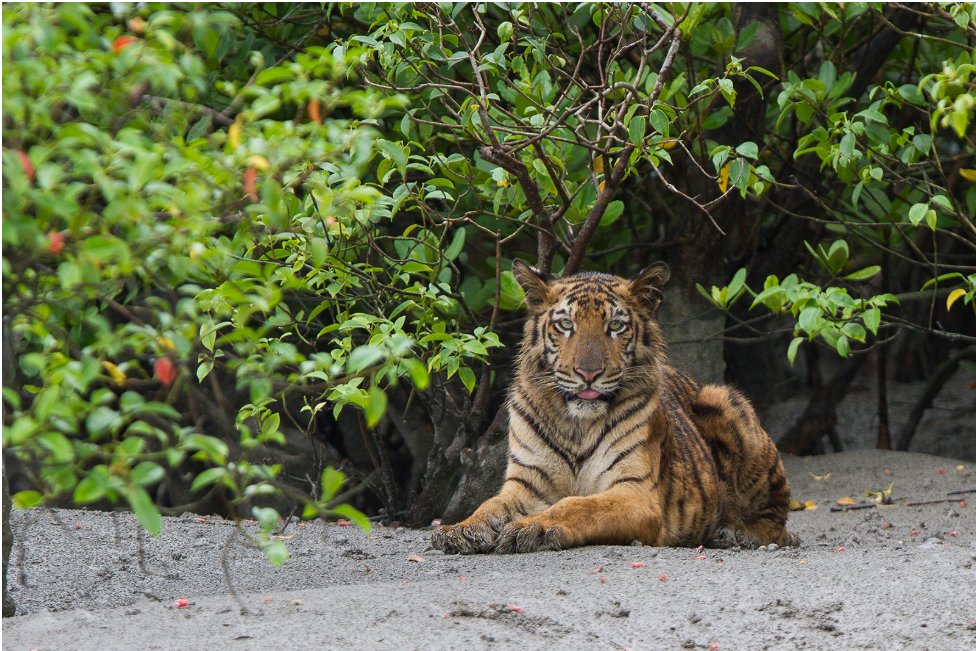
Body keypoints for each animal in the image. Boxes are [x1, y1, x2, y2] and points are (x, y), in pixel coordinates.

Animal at [430, 260, 797, 554]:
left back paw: (735, 534)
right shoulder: (525, 485)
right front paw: (459, 530)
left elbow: (576, 506)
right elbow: (490, 506)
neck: (575, 425)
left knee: (776, 522)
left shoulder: (635, 492)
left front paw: (532, 528)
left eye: (615, 326)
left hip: (724, 400)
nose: (588, 374)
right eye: (566, 325)